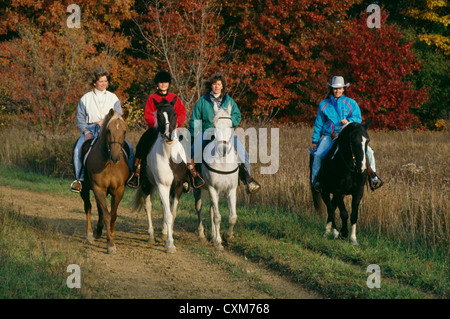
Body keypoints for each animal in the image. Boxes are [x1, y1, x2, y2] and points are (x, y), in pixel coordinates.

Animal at [78, 109, 128, 255]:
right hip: (85, 190)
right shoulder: (98, 188)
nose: (115, 157)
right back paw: (90, 234)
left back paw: (99, 231)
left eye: (124, 131)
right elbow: (106, 215)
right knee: (88, 207)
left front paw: (111, 235)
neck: (109, 164)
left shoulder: (118, 190)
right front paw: (110, 244)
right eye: (108, 130)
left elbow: (113, 215)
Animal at [130, 99, 190, 254]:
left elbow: (172, 213)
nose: (169, 135)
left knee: (164, 208)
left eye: (174, 113)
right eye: (159, 116)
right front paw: (170, 245)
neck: (170, 156)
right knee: (148, 207)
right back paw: (151, 235)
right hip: (146, 185)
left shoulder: (178, 187)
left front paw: (168, 236)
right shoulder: (163, 186)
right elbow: (168, 215)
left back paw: (163, 233)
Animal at [193, 104, 239, 251]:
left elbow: (232, 217)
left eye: (230, 126)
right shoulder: (212, 188)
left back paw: (213, 236)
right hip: (200, 190)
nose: (223, 149)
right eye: (215, 125)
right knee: (199, 208)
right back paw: (202, 234)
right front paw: (219, 242)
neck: (223, 163)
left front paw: (226, 236)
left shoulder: (231, 190)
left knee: (212, 210)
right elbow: (218, 217)